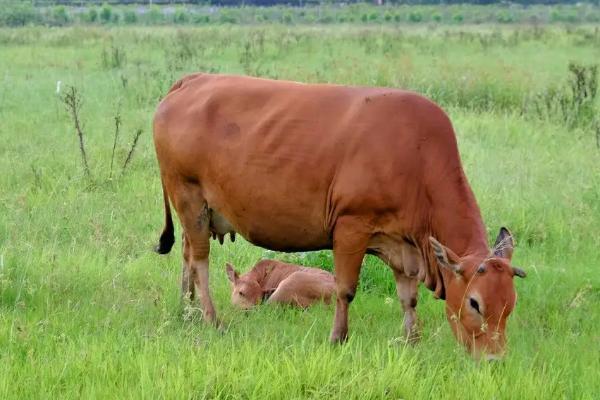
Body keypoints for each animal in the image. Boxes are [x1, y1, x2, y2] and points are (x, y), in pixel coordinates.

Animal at [154, 73, 524, 360]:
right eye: (475, 303)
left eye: (510, 304)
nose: (494, 359)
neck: (417, 157)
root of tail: (193, 80)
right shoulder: (351, 227)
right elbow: (345, 289)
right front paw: (338, 338)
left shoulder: (403, 243)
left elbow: (408, 297)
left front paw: (411, 340)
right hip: (188, 196)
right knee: (200, 262)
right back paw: (211, 318)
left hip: (198, 210)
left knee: (187, 255)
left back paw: (186, 308)